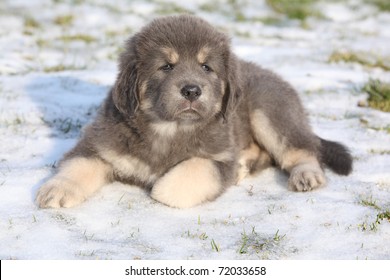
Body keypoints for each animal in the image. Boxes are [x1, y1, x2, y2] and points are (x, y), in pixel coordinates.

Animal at [36, 14, 354, 208]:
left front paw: (159, 185)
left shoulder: (219, 157)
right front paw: (58, 189)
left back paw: (306, 175)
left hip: (269, 110)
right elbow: (78, 164)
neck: (167, 128)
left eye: (206, 67)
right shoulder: (99, 143)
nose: (191, 90)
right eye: (166, 66)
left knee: (302, 148)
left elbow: (180, 179)